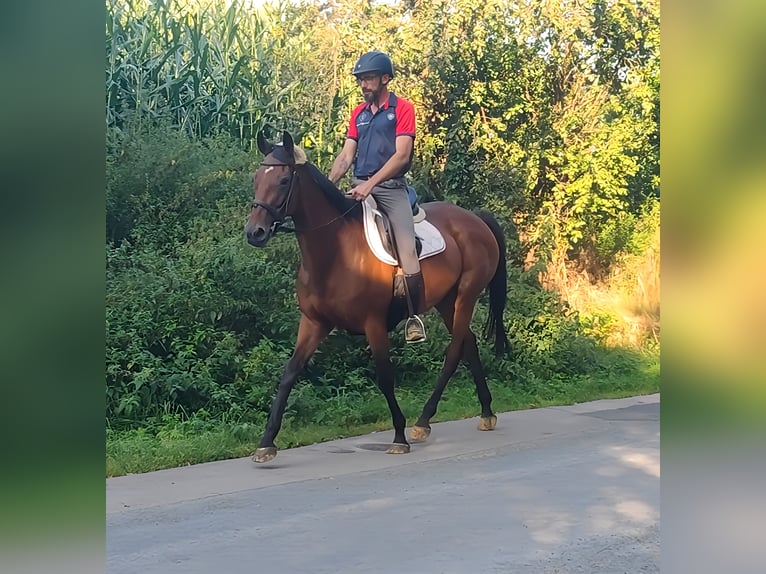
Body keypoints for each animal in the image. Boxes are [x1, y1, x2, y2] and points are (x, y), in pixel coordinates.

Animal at [246, 130, 510, 464]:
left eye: (283, 181)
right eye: (257, 178)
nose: (254, 232)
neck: (335, 252)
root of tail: (474, 218)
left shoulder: (373, 323)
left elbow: (384, 376)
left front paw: (398, 436)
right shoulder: (314, 323)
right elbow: (289, 374)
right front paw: (266, 442)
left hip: (466, 295)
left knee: (454, 352)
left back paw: (422, 421)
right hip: (447, 301)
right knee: (469, 344)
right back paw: (484, 412)